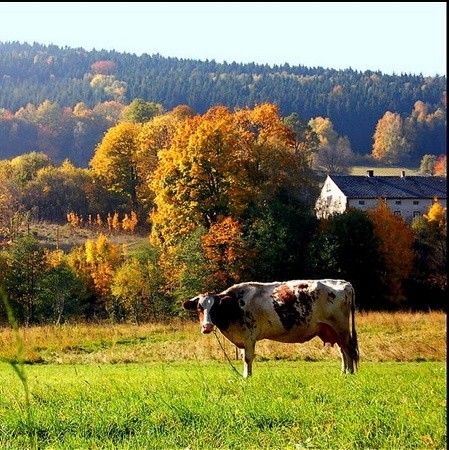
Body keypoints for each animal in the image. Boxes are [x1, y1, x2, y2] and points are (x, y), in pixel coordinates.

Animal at [180, 280, 358, 378]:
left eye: (215, 308)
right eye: (199, 308)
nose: (207, 326)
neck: (235, 305)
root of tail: (345, 283)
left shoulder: (249, 336)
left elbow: (247, 358)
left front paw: (247, 377)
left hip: (341, 328)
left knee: (348, 350)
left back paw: (349, 373)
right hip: (334, 331)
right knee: (343, 351)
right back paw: (343, 372)